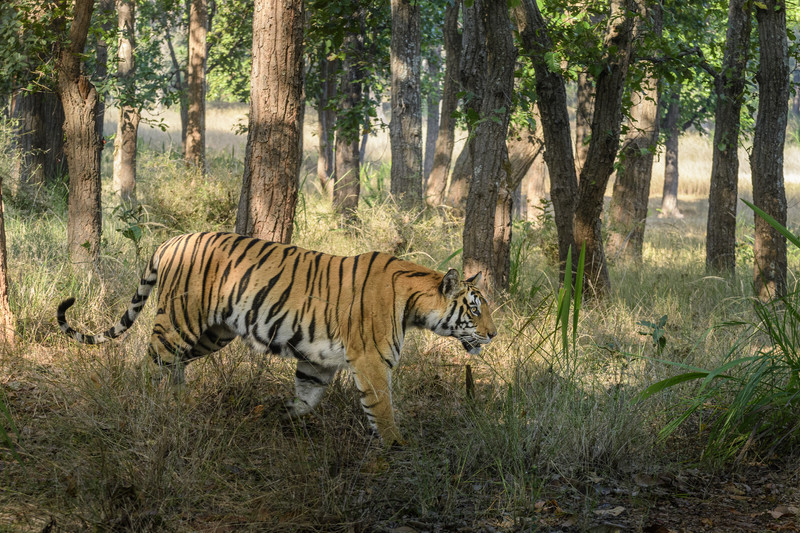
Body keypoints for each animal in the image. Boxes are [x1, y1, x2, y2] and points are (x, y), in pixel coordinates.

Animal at [57, 232, 497, 445]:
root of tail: (171, 241)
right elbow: (383, 410)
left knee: (173, 366)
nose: (494, 334)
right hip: (180, 321)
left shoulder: (318, 362)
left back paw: (179, 402)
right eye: (475, 309)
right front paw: (397, 447)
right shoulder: (371, 361)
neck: (414, 306)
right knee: (151, 363)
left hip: (213, 333)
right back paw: (151, 408)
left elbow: (306, 398)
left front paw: (278, 415)